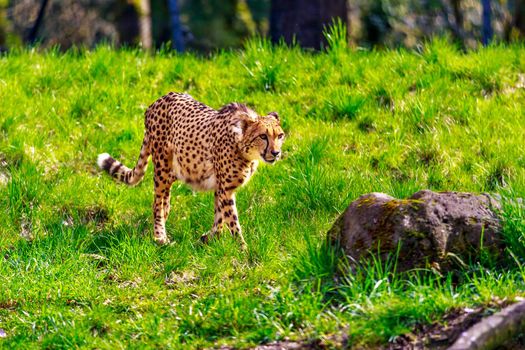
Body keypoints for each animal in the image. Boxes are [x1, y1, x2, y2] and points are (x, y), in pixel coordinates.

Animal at [96, 91, 284, 247]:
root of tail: (159, 99)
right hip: (162, 167)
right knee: (157, 202)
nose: (276, 153)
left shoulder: (221, 188)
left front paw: (209, 238)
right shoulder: (225, 189)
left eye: (280, 136)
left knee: (165, 201)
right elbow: (232, 220)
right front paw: (243, 249)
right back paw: (160, 236)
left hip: (175, 170)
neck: (243, 148)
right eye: (263, 136)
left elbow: (220, 216)